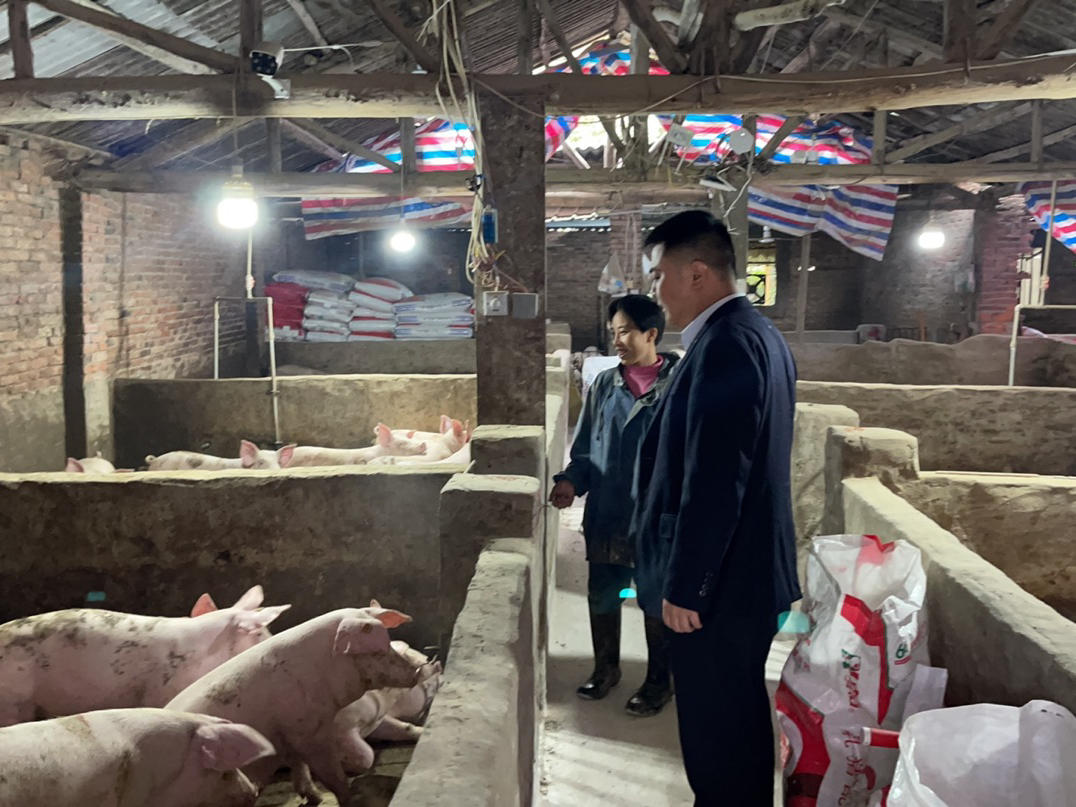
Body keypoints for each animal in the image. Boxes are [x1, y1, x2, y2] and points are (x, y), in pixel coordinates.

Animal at [166, 604, 420, 805]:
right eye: (376, 649)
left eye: (388, 642)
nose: (419, 668)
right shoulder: (307, 732)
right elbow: (331, 774)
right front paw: (347, 799)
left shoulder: (287, 737)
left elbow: (300, 768)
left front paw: (315, 798)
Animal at [332, 641, 443, 774]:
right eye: (424, 665)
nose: (439, 664)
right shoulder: (341, 729)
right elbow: (367, 756)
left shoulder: (377, 719)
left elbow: (406, 727)